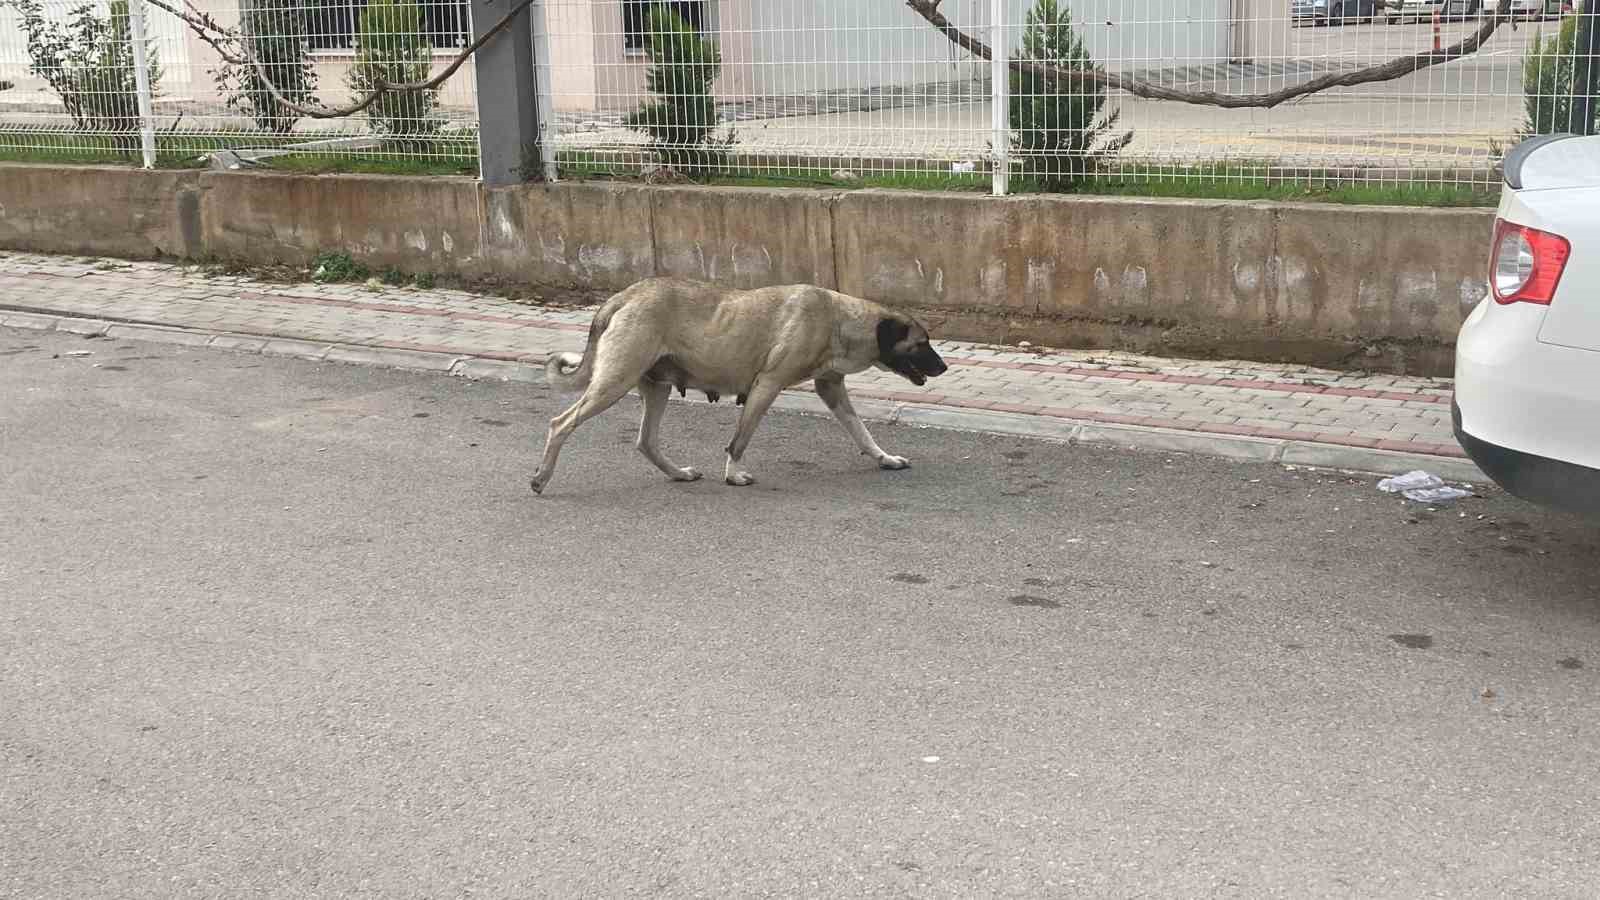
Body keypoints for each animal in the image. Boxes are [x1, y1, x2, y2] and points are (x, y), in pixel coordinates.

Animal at [531, 277, 940, 493]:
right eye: (921, 344)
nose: (944, 366)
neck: (841, 319)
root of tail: (624, 295)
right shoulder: (766, 386)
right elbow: (739, 440)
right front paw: (733, 474)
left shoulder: (832, 388)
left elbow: (862, 433)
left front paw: (885, 458)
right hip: (613, 383)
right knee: (560, 424)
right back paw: (541, 477)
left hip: (656, 387)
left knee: (646, 441)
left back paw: (678, 473)